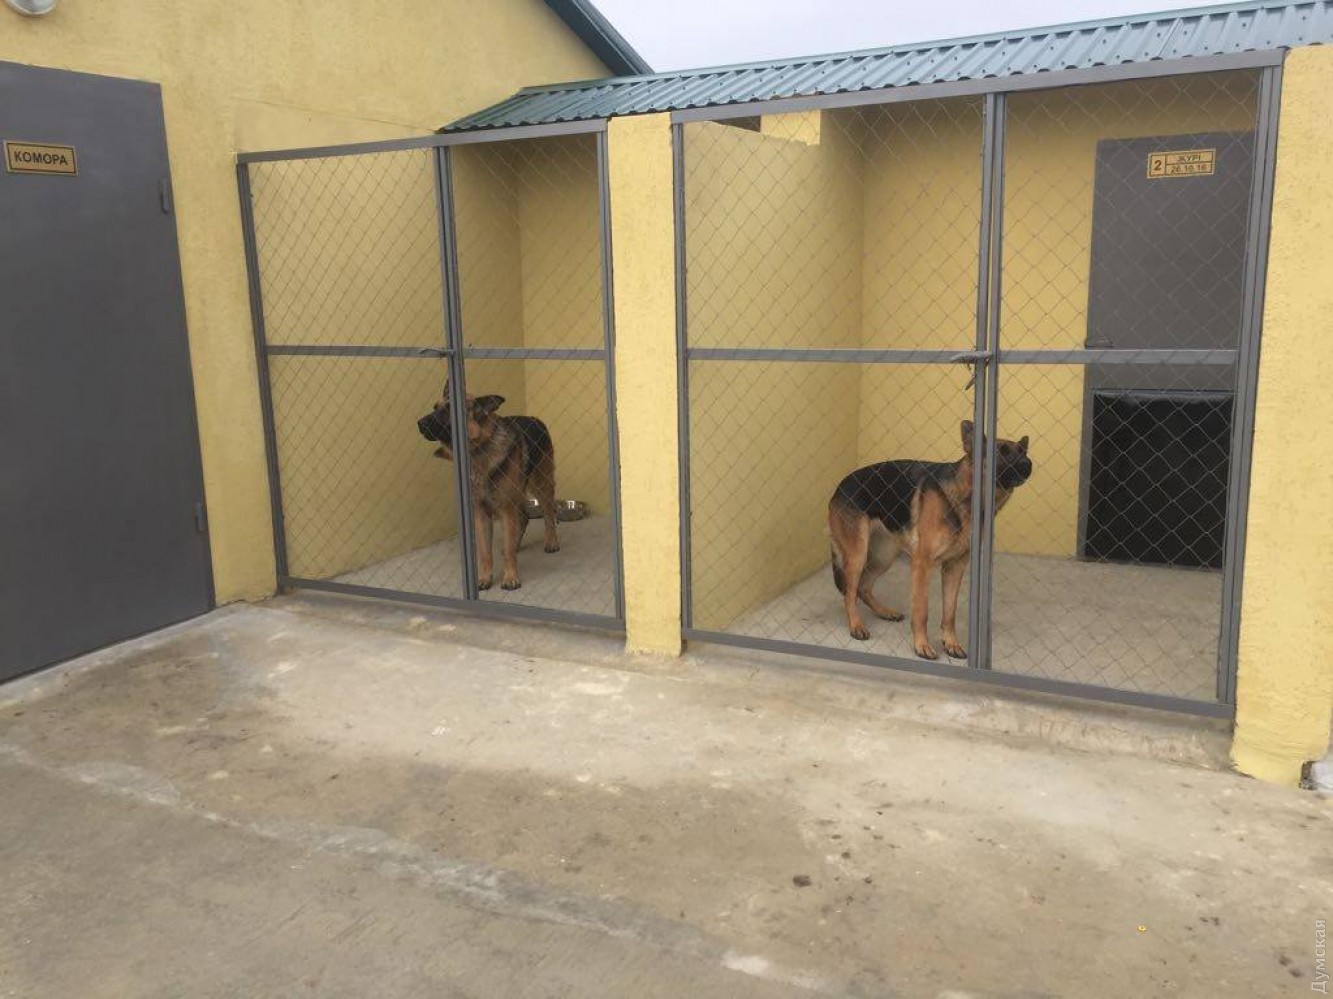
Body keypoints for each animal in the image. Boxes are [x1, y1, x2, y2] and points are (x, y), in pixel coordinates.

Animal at [417, 388, 559, 591]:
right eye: (435, 407)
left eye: (449, 409)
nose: (419, 423)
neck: (478, 449)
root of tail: (534, 418)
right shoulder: (481, 513)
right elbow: (485, 552)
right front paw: (484, 578)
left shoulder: (506, 508)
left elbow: (507, 549)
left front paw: (510, 578)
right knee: (523, 517)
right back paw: (516, 543)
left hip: (540, 484)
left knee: (548, 511)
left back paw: (551, 541)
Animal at [828, 420, 1032, 660]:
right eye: (1001, 451)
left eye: (1022, 452)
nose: (1028, 464)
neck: (967, 497)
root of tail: (839, 486)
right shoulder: (922, 564)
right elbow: (921, 610)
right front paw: (921, 645)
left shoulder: (955, 566)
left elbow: (950, 612)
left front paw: (951, 643)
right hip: (858, 554)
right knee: (850, 591)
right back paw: (856, 625)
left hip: (883, 556)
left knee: (863, 587)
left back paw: (885, 612)